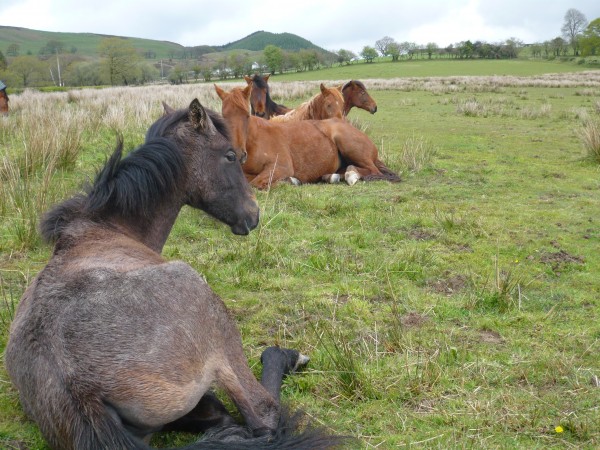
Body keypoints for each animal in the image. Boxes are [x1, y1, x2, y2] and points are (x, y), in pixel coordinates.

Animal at [4, 98, 344, 450]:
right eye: (231, 155)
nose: (253, 215)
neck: (104, 228)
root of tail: (80, 391)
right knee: (263, 412)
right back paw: (288, 358)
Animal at [213, 83, 400, 189]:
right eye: (224, 116)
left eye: (246, 115)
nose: (238, 154)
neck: (253, 141)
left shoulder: (281, 167)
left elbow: (255, 183)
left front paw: (291, 181)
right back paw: (332, 176)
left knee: (372, 170)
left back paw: (351, 175)